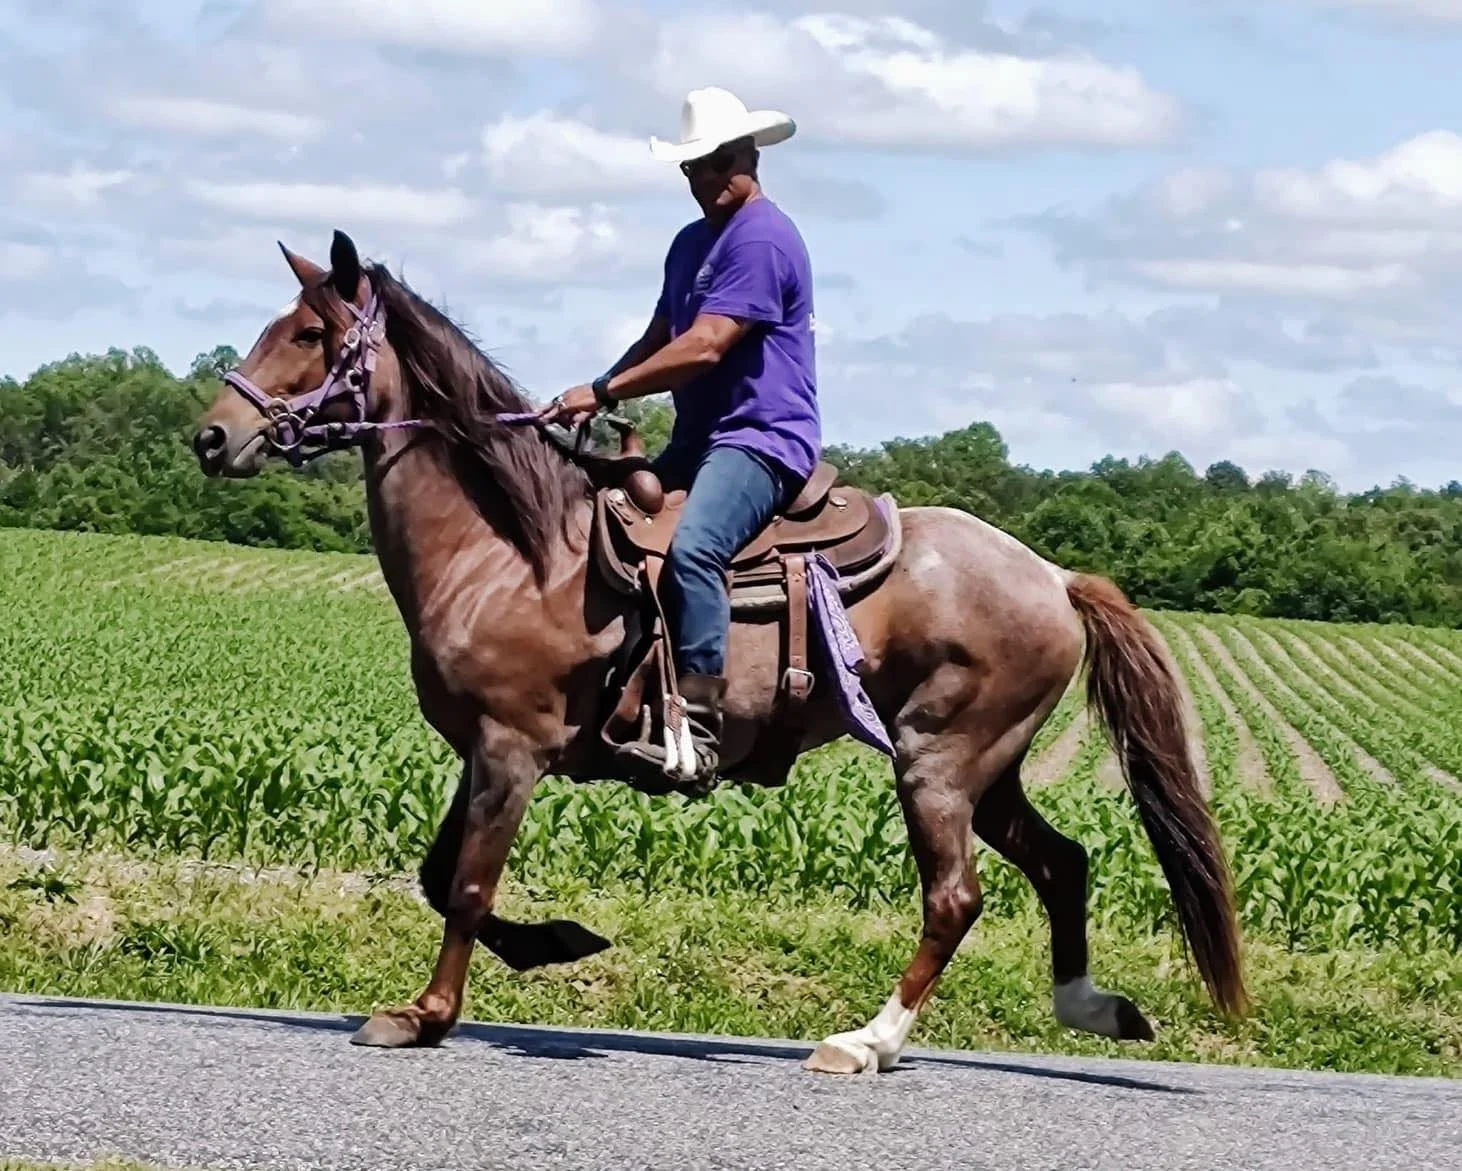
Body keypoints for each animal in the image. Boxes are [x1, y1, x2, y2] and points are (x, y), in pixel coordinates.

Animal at [190, 230, 1246, 1074]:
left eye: (311, 335)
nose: (211, 436)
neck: (513, 553)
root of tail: (1054, 575)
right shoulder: (482, 752)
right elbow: (436, 871)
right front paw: (557, 943)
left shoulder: (510, 749)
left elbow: (467, 883)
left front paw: (426, 1013)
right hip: (990, 770)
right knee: (1063, 863)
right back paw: (1093, 1007)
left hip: (939, 764)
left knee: (954, 898)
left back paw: (865, 1041)